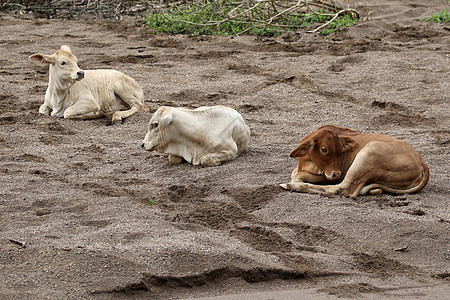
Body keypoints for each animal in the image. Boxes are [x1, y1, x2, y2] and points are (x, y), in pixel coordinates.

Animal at [280, 125, 430, 198]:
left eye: (340, 150)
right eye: (324, 149)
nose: (336, 173)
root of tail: (421, 163)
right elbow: (295, 173)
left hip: (368, 154)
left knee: (342, 189)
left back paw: (290, 186)